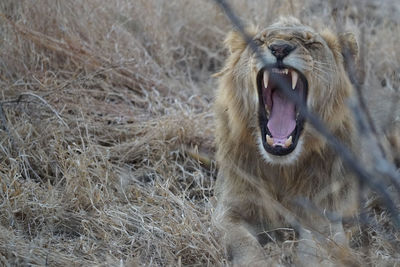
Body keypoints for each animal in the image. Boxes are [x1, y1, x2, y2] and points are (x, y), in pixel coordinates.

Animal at [214, 17, 364, 266]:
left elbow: (315, 246)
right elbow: (244, 244)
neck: (282, 170)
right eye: (260, 41)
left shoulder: (324, 217)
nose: (279, 48)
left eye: (312, 43)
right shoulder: (228, 211)